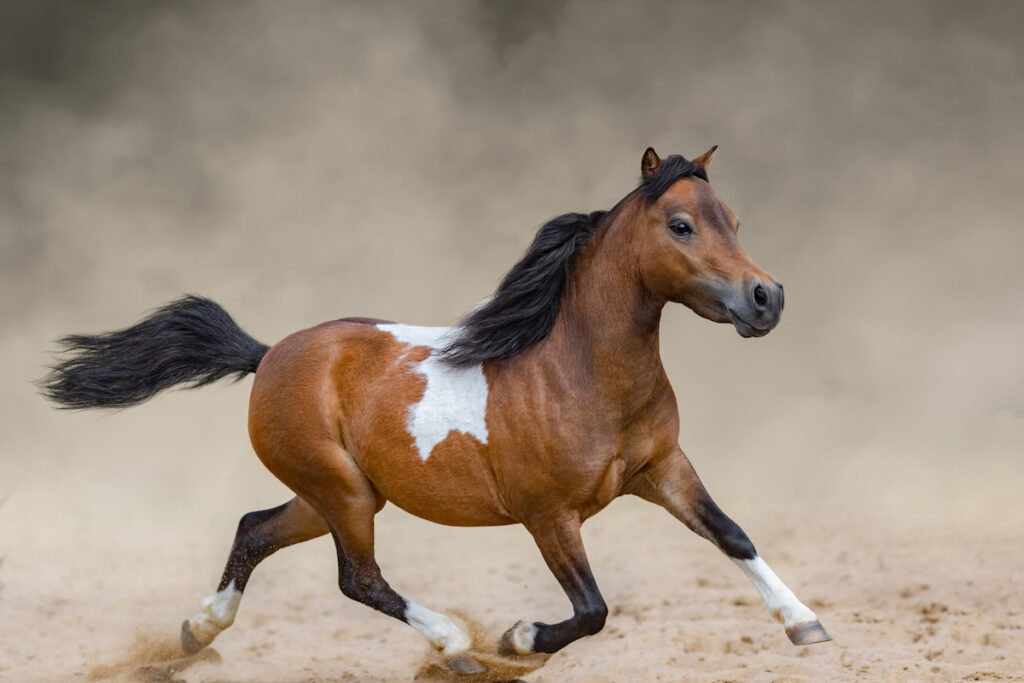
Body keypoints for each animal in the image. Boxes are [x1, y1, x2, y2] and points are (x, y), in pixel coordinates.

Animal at [44, 147, 835, 675]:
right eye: (680, 225)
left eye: (733, 220)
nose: (766, 298)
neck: (578, 371)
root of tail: (269, 355)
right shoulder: (548, 514)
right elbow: (591, 609)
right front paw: (516, 640)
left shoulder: (663, 469)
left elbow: (732, 535)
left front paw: (807, 624)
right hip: (344, 493)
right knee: (358, 578)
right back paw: (456, 645)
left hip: (334, 494)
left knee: (255, 529)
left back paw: (193, 632)